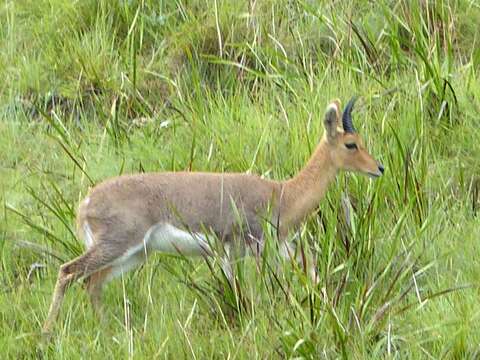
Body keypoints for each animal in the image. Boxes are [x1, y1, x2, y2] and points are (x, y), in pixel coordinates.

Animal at [43, 97, 384, 334]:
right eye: (351, 144)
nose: (378, 168)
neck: (283, 194)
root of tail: (86, 202)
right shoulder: (250, 248)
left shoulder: (273, 249)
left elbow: (308, 274)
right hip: (116, 245)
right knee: (68, 272)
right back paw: (47, 334)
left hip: (135, 254)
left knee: (92, 283)